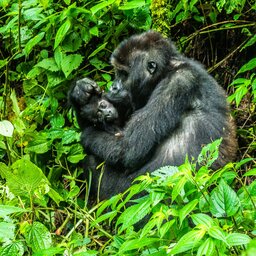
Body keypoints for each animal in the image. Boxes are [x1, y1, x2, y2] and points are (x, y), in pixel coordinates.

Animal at [69, 30, 237, 200]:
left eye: (123, 74)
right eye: (117, 73)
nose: (113, 87)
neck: (166, 71)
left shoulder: (177, 82)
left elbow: (128, 149)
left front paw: (87, 133)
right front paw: (81, 94)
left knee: (92, 162)